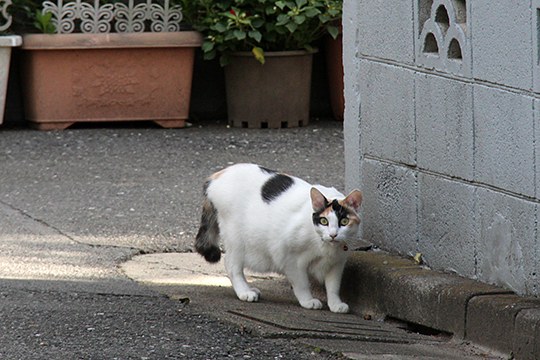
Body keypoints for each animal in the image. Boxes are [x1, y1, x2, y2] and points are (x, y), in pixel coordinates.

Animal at [194, 162, 362, 312]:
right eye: (324, 221)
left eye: (344, 222)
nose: (333, 234)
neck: (325, 246)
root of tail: (216, 176)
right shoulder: (292, 260)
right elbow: (302, 284)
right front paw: (307, 301)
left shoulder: (337, 263)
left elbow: (333, 286)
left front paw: (335, 304)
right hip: (237, 239)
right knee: (230, 264)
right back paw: (244, 292)